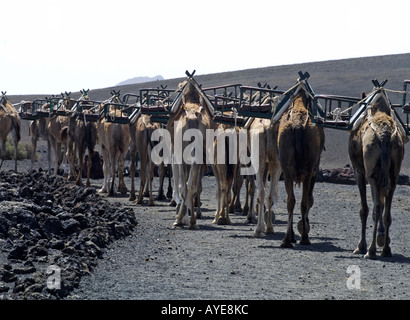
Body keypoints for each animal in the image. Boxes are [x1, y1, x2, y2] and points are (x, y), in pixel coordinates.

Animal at [274, 80, 326, 248]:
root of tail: (297, 125)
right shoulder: (314, 170)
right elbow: (309, 200)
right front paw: (304, 228)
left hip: (287, 169)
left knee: (291, 200)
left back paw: (287, 239)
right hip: (309, 169)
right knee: (304, 201)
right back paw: (304, 237)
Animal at [348, 89, 406, 258]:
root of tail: (385, 134)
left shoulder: (359, 171)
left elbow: (364, 209)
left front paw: (360, 246)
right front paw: (382, 237)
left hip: (371, 172)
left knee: (377, 207)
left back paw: (371, 250)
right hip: (393, 174)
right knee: (386, 210)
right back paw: (386, 249)